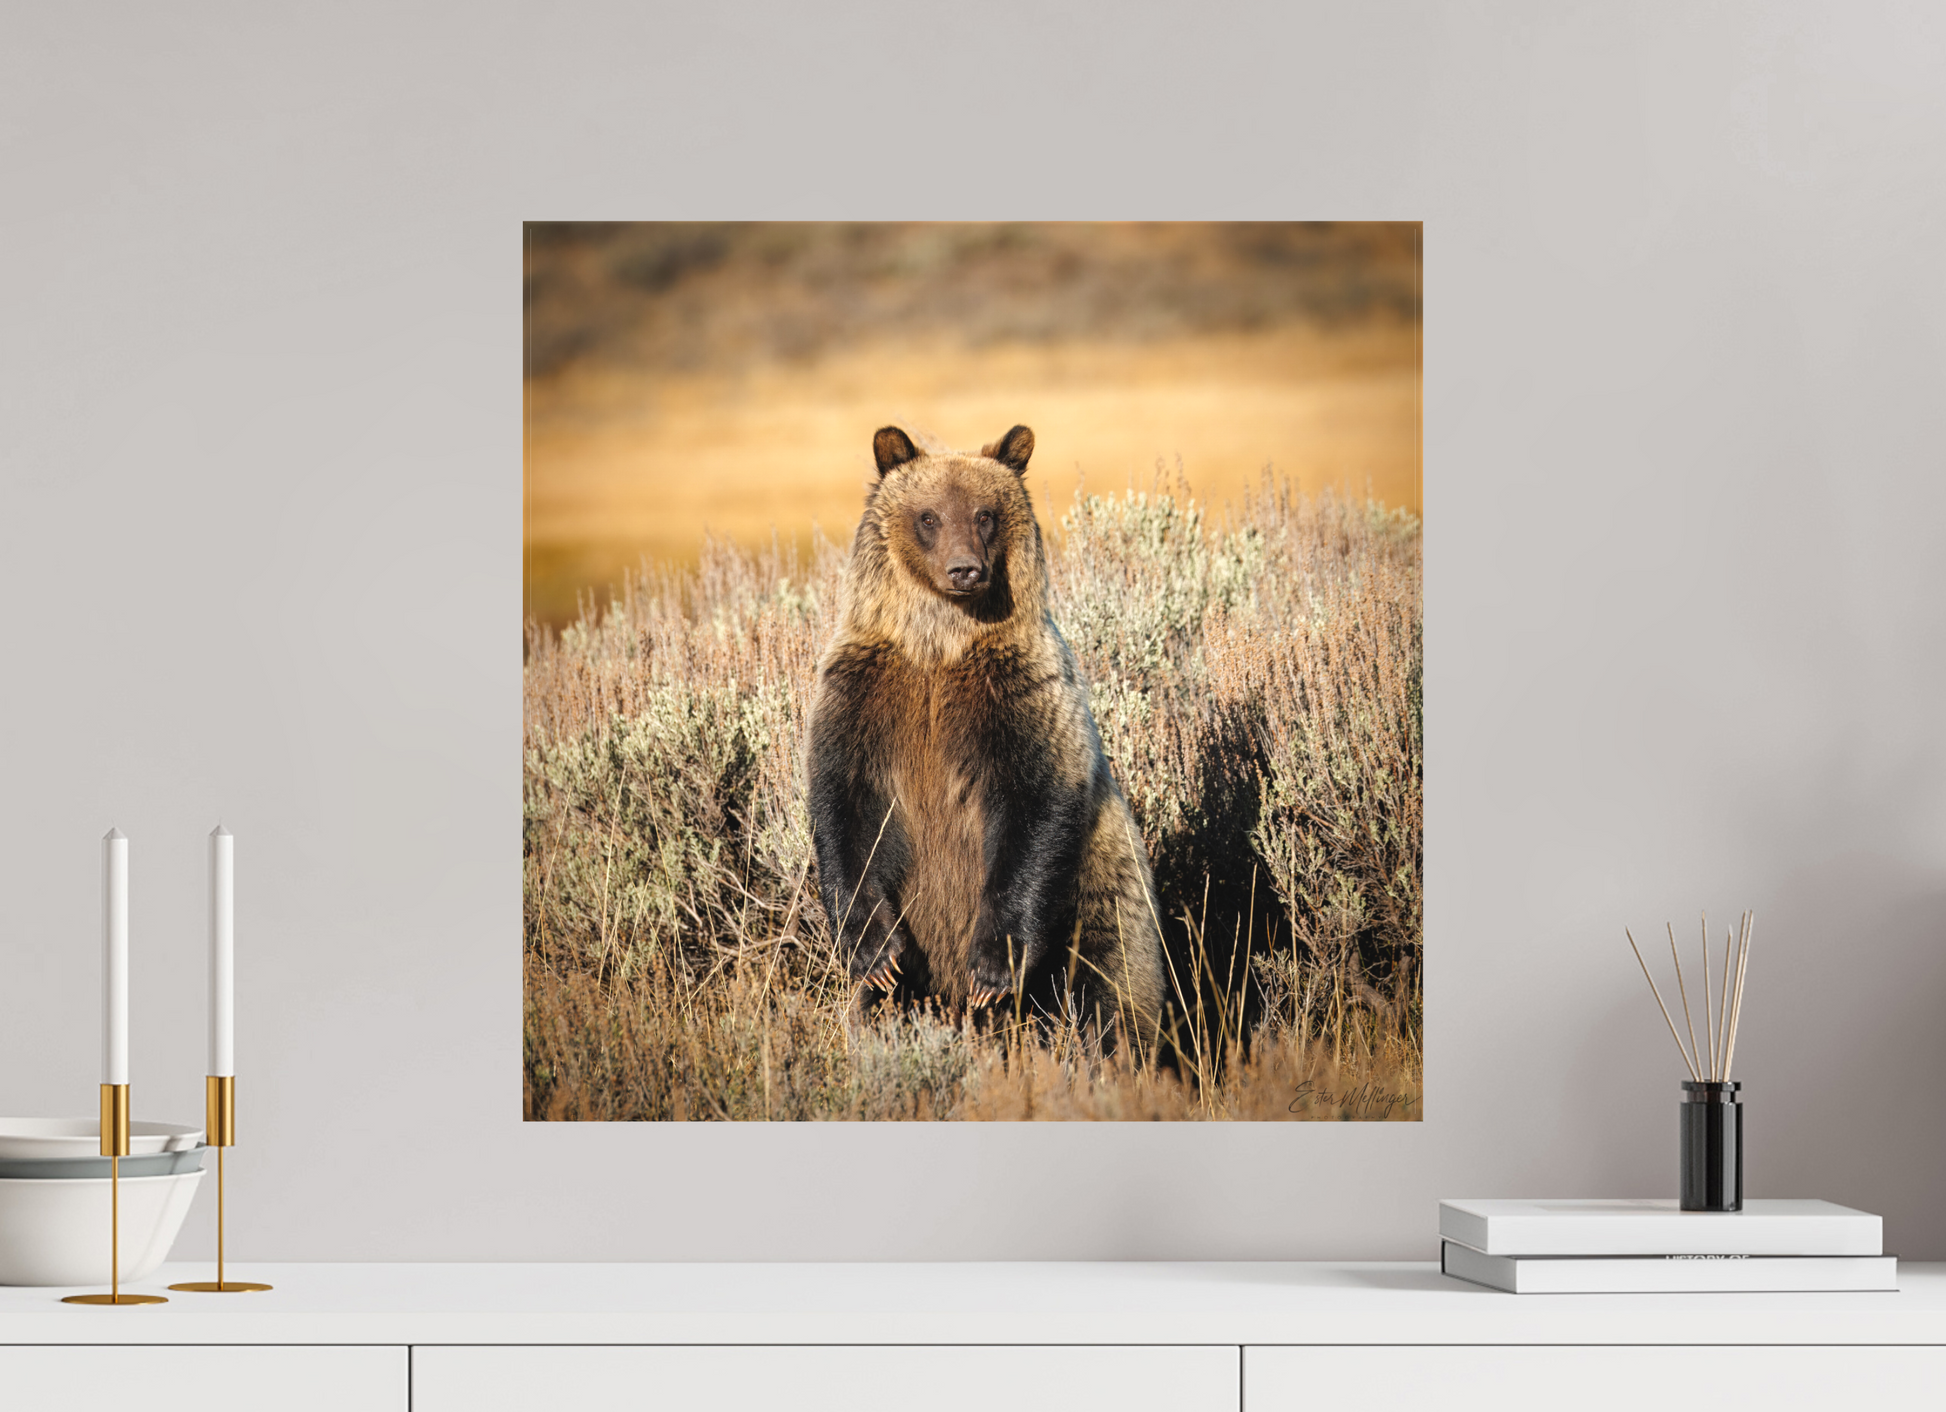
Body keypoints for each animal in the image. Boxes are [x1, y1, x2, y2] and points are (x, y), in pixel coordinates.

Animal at [806, 423, 1168, 1047]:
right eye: (928, 516)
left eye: (985, 515)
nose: (965, 570)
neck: (939, 645)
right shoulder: (864, 694)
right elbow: (844, 808)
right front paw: (875, 953)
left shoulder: (1019, 694)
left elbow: (1035, 806)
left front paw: (992, 969)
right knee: (889, 1008)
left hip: (1104, 890)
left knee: (1109, 986)